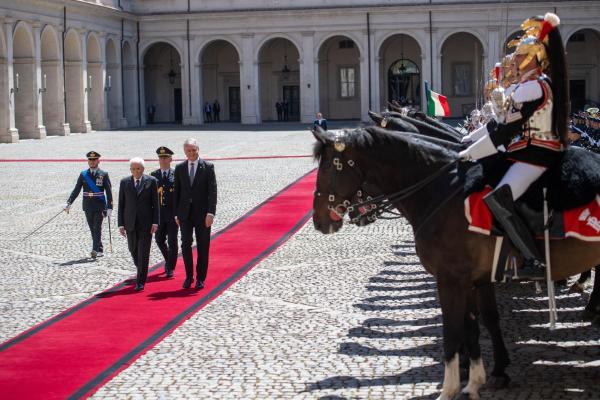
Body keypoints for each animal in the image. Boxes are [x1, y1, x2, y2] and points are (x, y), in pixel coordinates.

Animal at [312, 126, 600, 398]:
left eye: (327, 167)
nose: (318, 221)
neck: (441, 193)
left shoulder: (450, 280)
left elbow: (452, 332)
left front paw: (448, 389)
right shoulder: (473, 281)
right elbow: (474, 327)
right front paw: (476, 381)